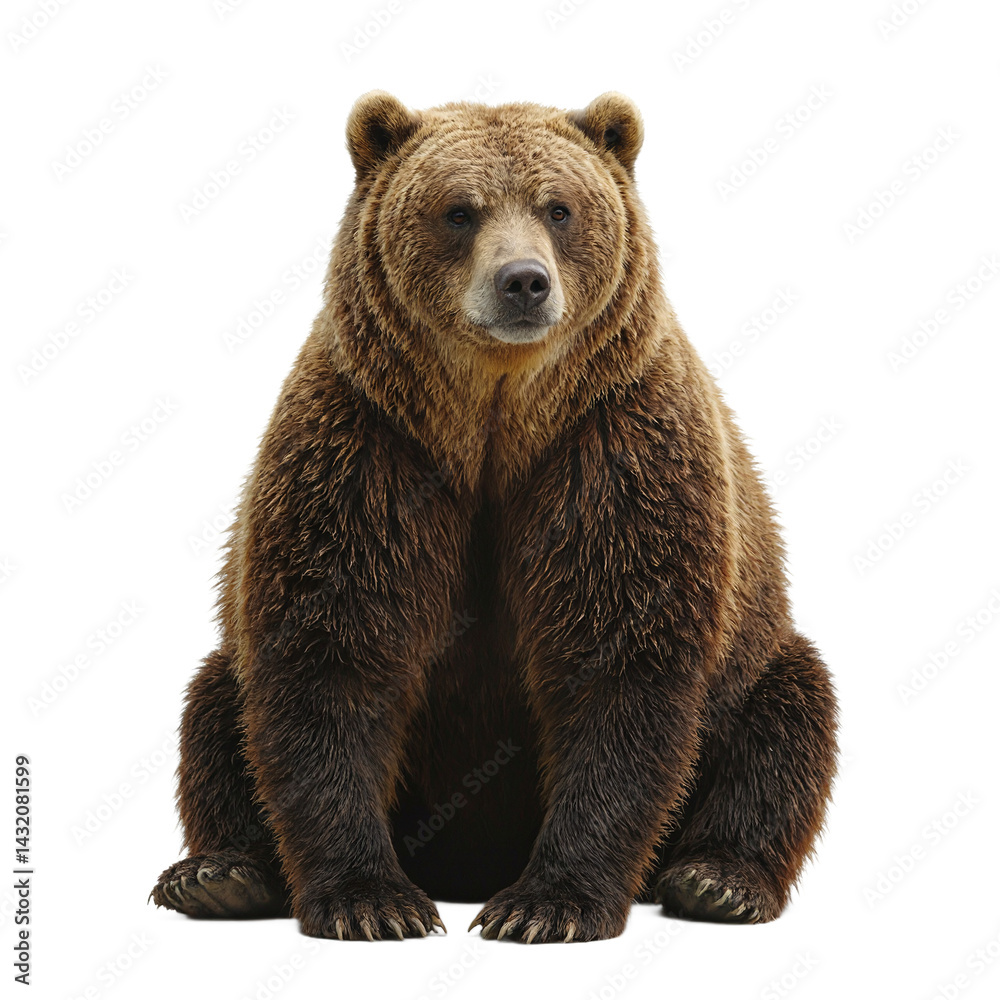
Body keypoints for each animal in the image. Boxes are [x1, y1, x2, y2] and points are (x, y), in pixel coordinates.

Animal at [150, 91, 838, 943]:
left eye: (559, 207)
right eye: (458, 210)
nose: (523, 282)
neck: (493, 421)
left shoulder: (613, 458)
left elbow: (619, 668)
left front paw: (549, 904)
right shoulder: (369, 454)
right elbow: (330, 656)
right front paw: (370, 899)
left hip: (753, 659)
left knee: (788, 719)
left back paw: (718, 879)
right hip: (236, 652)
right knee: (216, 709)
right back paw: (219, 874)